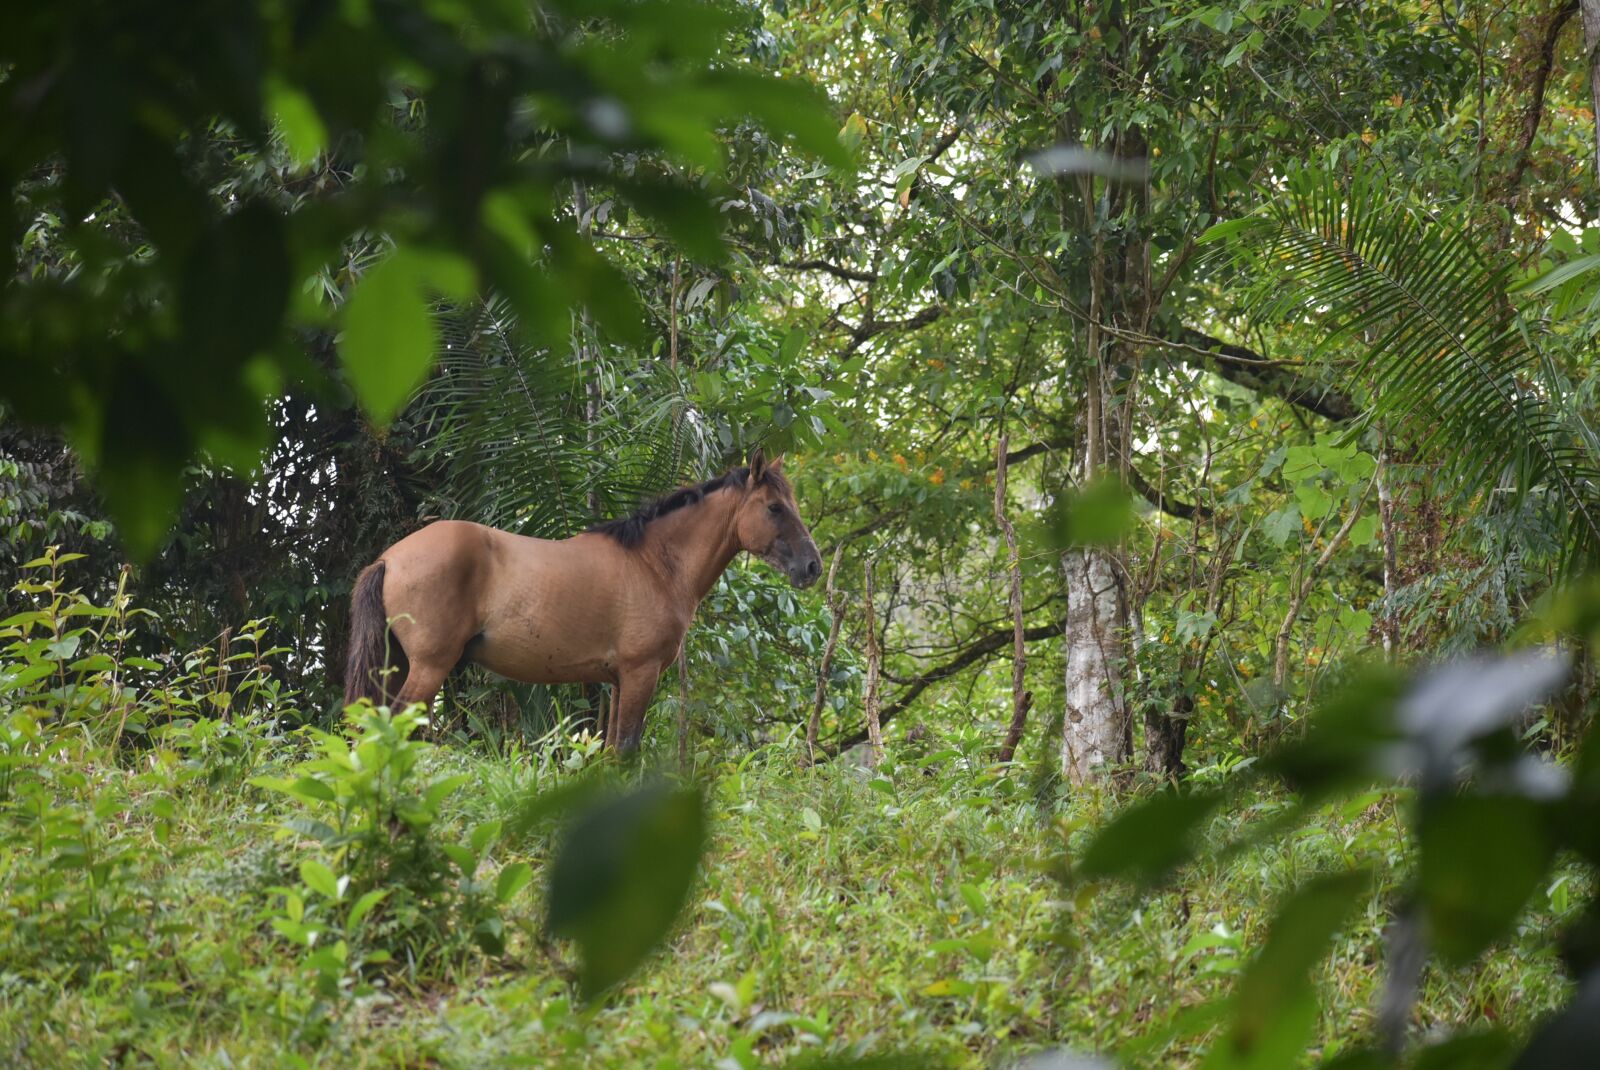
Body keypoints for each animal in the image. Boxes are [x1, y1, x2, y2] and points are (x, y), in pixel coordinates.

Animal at [342, 450, 821, 751]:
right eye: (775, 507)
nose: (813, 566)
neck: (654, 563)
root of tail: (389, 558)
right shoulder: (640, 673)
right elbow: (626, 749)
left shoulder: (618, 680)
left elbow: (610, 751)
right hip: (430, 667)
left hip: (398, 666)